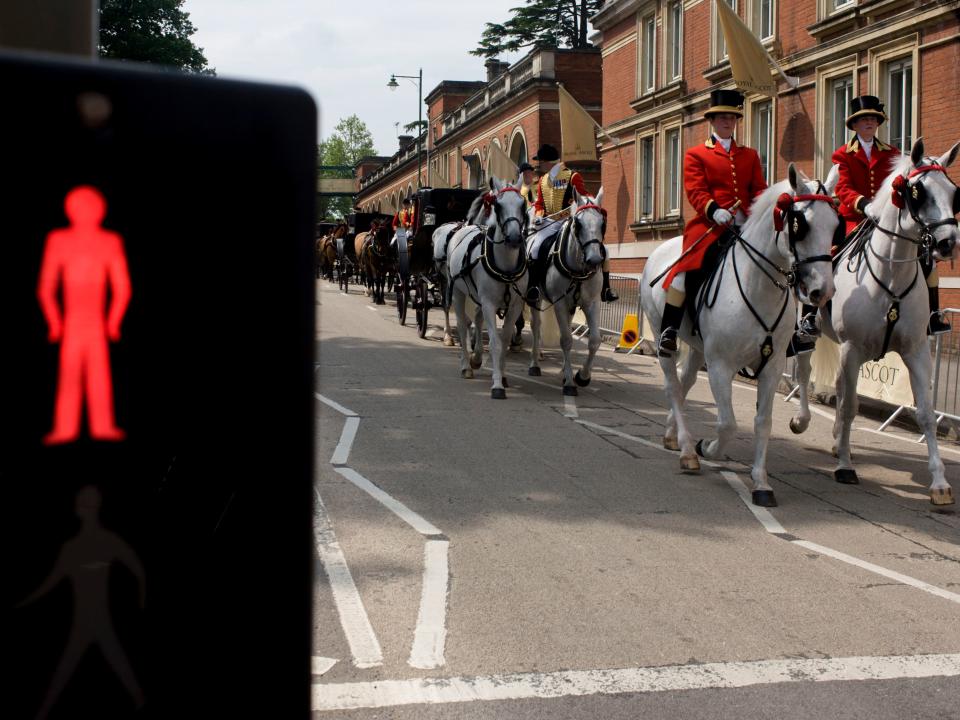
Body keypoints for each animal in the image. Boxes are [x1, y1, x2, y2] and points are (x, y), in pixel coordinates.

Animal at [444, 175, 528, 400]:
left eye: (523, 204)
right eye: (498, 205)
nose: (514, 238)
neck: (505, 266)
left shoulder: (515, 305)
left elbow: (505, 340)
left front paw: (503, 376)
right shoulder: (490, 303)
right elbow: (495, 343)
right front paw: (497, 385)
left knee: (477, 319)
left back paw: (476, 358)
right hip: (457, 292)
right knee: (462, 324)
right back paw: (466, 365)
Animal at [528, 187, 604, 394]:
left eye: (602, 223)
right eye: (578, 224)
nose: (594, 260)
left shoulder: (591, 303)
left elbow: (594, 340)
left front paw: (582, 376)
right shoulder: (559, 303)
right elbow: (566, 340)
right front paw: (570, 382)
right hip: (535, 299)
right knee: (536, 326)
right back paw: (535, 364)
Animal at [644, 165, 840, 506]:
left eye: (834, 225)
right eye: (799, 224)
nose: (822, 291)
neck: (757, 286)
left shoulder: (772, 367)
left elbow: (762, 423)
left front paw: (761, 482)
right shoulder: (721, 366)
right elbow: (727, 423)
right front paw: (707, 447)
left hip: (698, 349)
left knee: (685, 383)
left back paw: (672, 434)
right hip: (661, 338)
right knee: (673, 386)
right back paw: (687, 448)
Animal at [792, 138, 956, 504]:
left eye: (954, 191)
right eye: (918, 191)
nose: (948, 242)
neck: (891, 274)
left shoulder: (916, 351)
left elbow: (926, 413)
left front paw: (939, 482)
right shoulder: (852, 349)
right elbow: (850, 405)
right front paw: (844, 466)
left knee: (838, 388)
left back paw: (837, 438)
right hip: (809, 334)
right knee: (807, 373)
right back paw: (805, 421)